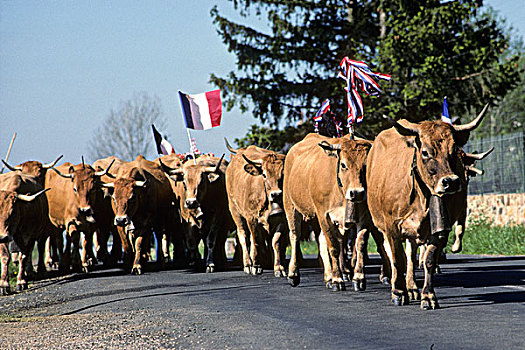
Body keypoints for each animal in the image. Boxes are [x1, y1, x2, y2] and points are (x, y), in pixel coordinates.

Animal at [224, 138, 286, 278]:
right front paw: (256, 266)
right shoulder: (251, 218)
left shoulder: (281, 219)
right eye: (264, 174)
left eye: (283, 173)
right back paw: (248, 264)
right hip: (235, 212)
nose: (276, 194)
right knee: (244, 236)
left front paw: (278, 268)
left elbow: (276, 242)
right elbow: (256, 240)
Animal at [366, 104, 490, 308]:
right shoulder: (391, 226)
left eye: (454, 150)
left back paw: (412, 287)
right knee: (393, 255)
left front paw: (428, 296)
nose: (451, 182)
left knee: (411, 255)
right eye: (425, 152)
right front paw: (398, 292)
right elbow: (397, 259)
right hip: (381, 226)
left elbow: (428, 260)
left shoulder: (440, 229)